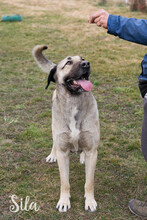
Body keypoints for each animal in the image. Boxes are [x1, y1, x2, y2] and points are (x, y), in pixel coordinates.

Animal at [32, 44, 100, 211]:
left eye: (83, 58)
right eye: (68, 63)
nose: (86, 64)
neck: (74, 102)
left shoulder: (92, 150)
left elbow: (89, 182)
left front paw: (90, 201)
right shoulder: (63, 152)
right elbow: (65, 182)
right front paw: (64, 201)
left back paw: (82, 157)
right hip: (54, 127)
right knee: (54, 142)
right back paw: (52, 154)